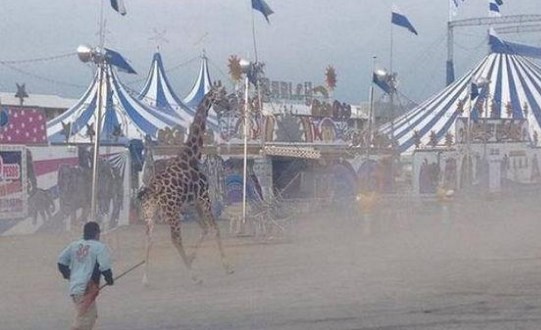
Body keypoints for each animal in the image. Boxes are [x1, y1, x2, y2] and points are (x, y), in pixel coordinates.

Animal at [137, 85, 232, 284]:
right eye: (222, 95)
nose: (228, 106)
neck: (192, 156)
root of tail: (150, 191)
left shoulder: (191, 203)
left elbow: (205, 229)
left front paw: (192, 258)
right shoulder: (204, 197)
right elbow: (215, 229)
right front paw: (227, 266)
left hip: (150, 212)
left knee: (149, 238)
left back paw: (145, 279)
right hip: (171, 212)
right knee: (175, 239)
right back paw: (194, 276)